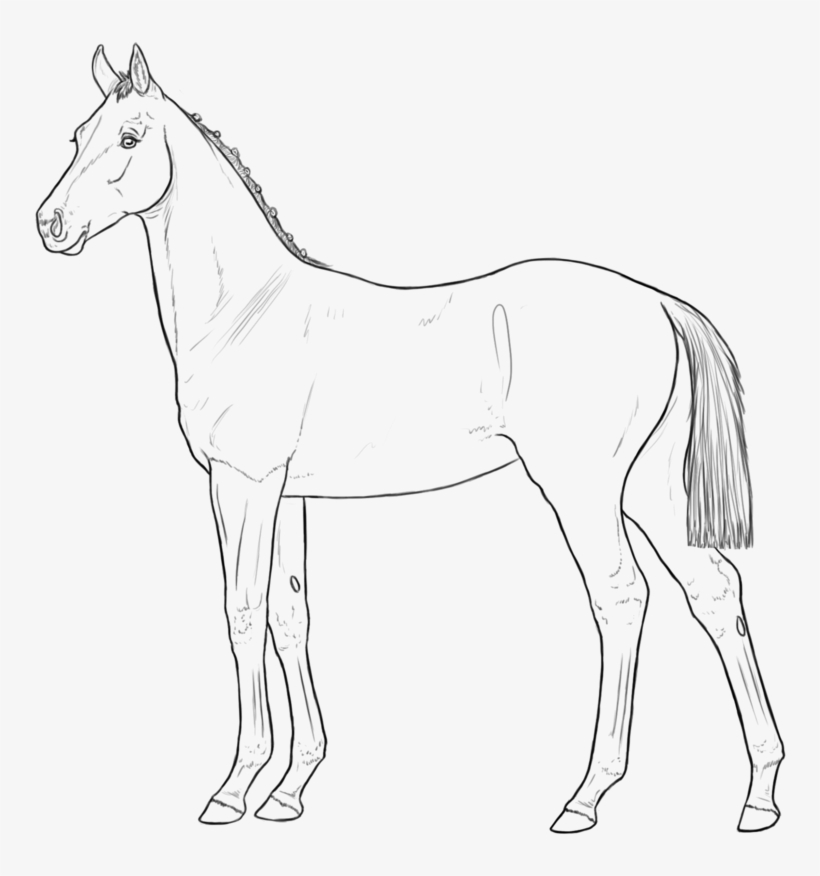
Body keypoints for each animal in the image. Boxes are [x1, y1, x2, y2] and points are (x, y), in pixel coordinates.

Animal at [36, 44, 783, 833]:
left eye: (129, 138)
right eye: (76, 137)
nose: (50, 223)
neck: (247, 310)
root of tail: (661, 304)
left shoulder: (242, 483)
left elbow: (242, 612)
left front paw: (235, 788)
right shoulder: (290, 495)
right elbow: (290, 614)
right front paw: (290, 788)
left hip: (584, 489)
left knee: (620, 598)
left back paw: (586, 795)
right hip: (648, 489)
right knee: (714, 592)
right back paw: (760, 792)